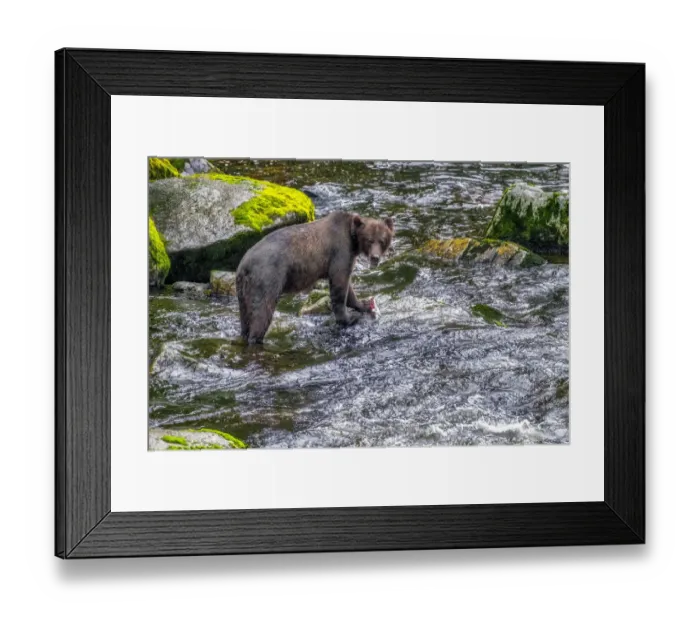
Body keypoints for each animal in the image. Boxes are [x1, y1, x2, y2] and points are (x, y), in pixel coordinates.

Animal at [236, 211, 394, 345]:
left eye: (382, 240)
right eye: (369, 240)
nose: (375, 258)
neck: (353, 242)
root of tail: (244, 265)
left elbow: (347, 287)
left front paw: (364, 304)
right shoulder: (340, 252)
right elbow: (339, 283)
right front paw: (349, 318)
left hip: (243, 288)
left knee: (245, 316)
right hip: (267, 277)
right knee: (262, 311)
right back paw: (257, 339)